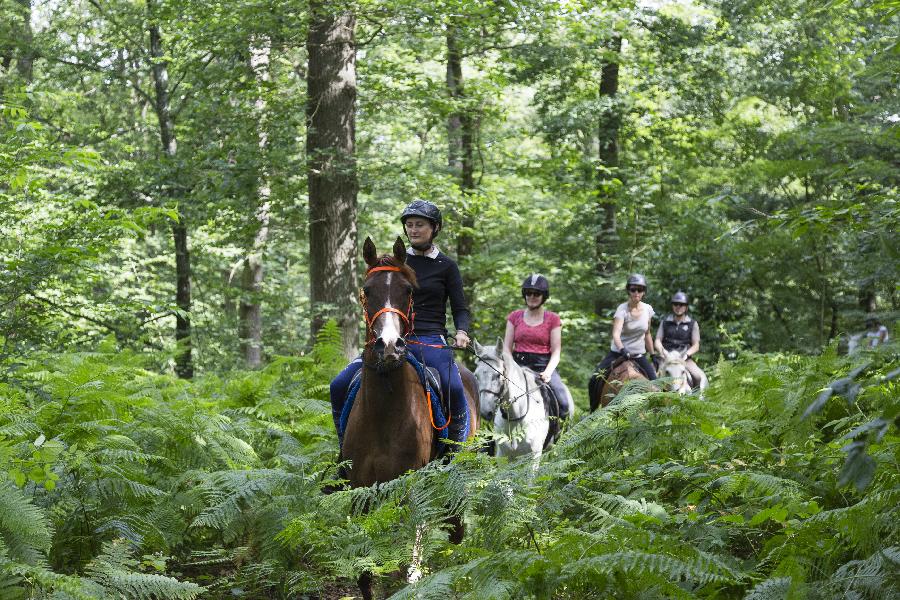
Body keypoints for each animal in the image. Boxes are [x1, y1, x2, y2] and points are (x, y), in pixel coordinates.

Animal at [342, 237, 478, 596]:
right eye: (367, 290)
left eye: (407, 291)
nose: (389, 346)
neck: (382, 416)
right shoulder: (361, 494)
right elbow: (365, 572)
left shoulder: (408, 488)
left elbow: (402, 562)